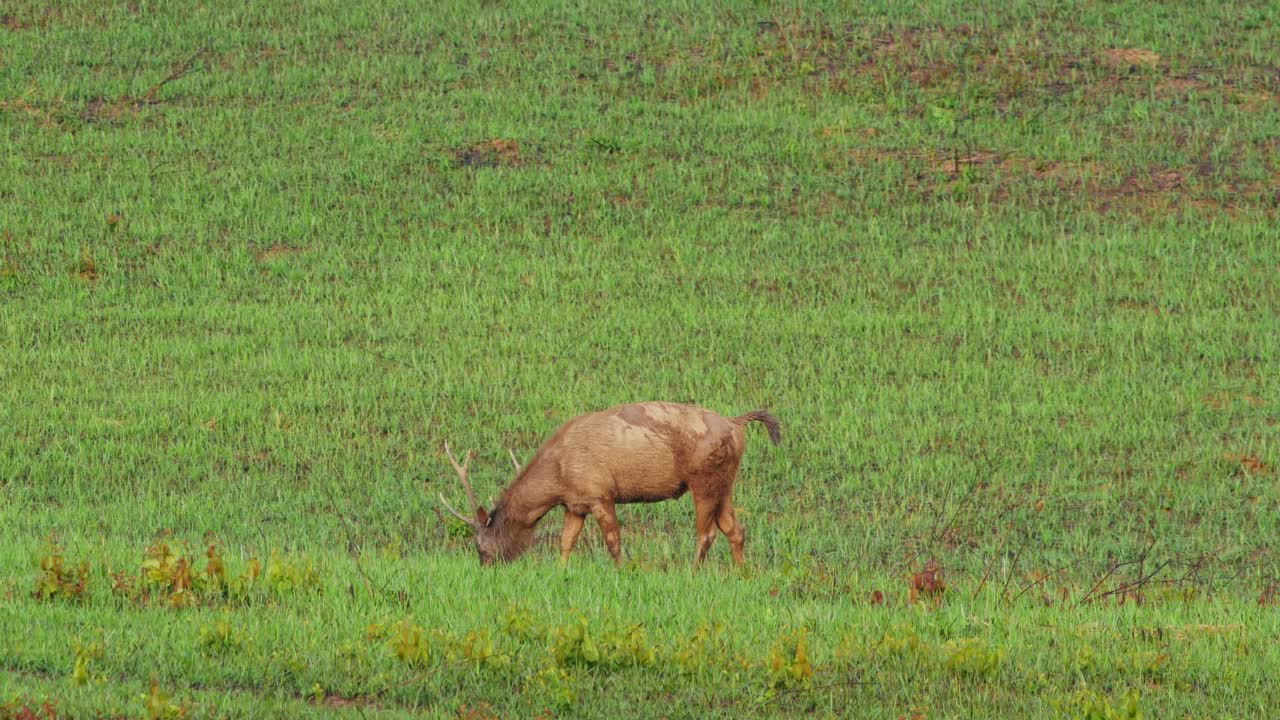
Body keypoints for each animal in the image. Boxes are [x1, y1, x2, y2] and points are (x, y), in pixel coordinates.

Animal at [437, 399, 778, 563]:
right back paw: (741, 574)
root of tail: (736, 423)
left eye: (480, 545)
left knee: (705, 534)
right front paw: (560, 573)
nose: (486, 568)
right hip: (725, 482)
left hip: (704, 479)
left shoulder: (600, 492)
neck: (558, 475)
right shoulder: (575, 503)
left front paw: (622, 572)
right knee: (735, 530)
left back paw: (693, 573)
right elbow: (565, 543)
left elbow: (614, 542)